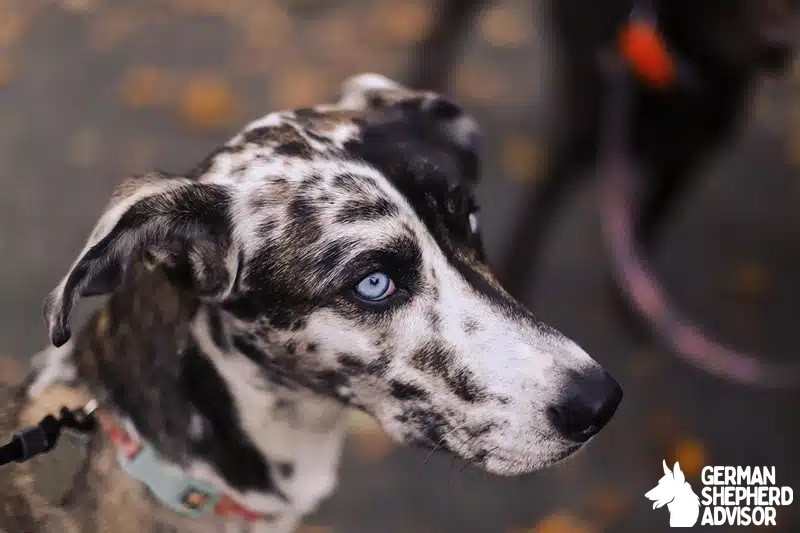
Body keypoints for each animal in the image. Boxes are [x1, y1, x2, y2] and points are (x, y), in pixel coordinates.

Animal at [410, 0, 796, 382]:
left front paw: (631, 306)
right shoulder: (573, 144)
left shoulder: (681, 164)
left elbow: (643, 229)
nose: (779, 43)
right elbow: (530, 229)